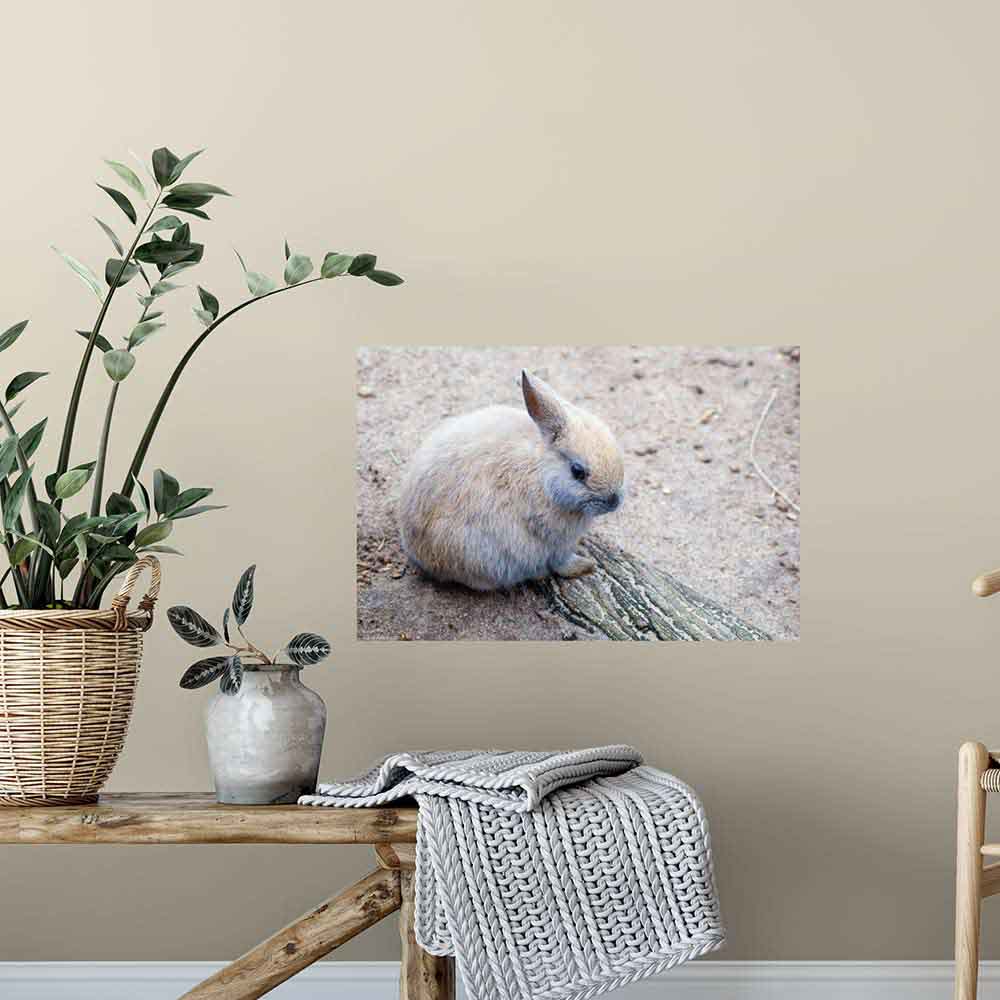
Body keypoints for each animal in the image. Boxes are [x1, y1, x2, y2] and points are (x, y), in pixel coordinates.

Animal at [398, 370, 625, 591]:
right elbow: (561, 563)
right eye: (577, 471)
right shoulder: (555, 542)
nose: (613, 502)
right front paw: (586, 566)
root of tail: (420, 557)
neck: (542, 473)